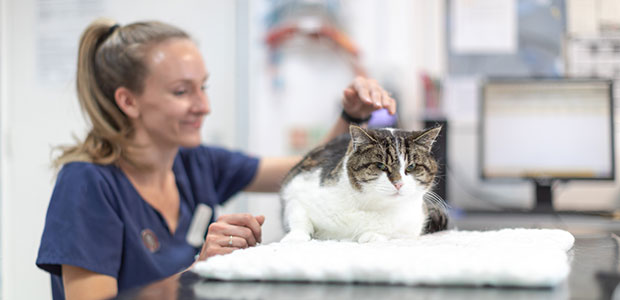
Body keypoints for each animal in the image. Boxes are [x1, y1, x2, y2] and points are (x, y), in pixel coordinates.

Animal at [280, 125, 446, 244]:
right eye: (380, 165)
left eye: (411, 167)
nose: (398, 183)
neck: (370, 206)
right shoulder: (297, 185)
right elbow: (299, 217)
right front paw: (295, 236)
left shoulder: (414, 223)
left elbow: (395, 232)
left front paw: (372, 235)